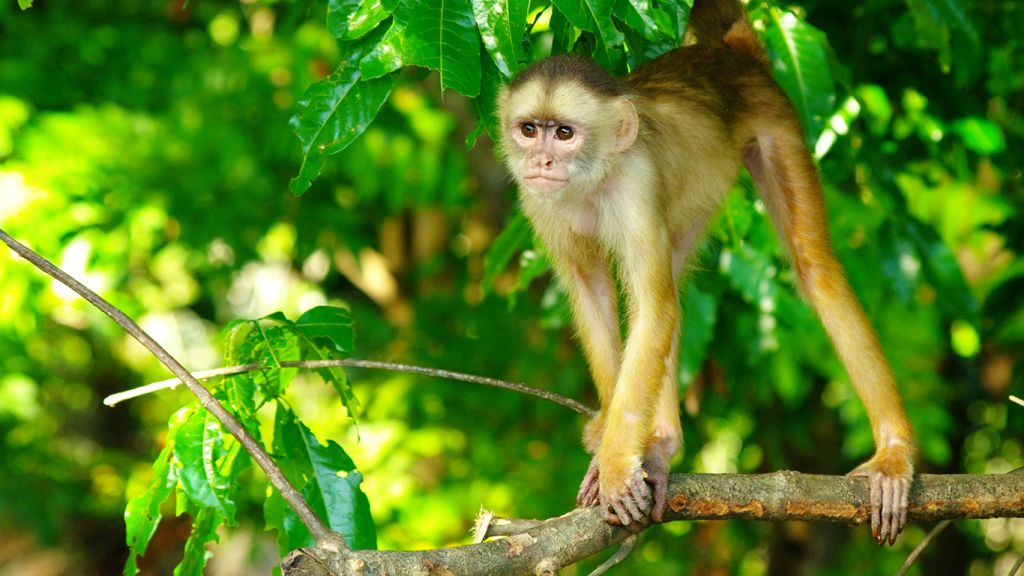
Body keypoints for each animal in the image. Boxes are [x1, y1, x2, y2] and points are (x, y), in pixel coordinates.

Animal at [495, 0, 913, 541]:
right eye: (529, 129)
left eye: (564, 133)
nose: (542, 159)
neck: (594, 177)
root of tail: (728, 56)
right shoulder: (536, 199)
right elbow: (594, 293)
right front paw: (614, 440)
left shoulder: (635, 183)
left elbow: (653, 309)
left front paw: (615, 466)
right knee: (672, 277)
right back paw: (660, 443)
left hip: (776, 122)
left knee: (812, 267)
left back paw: (894, 455)